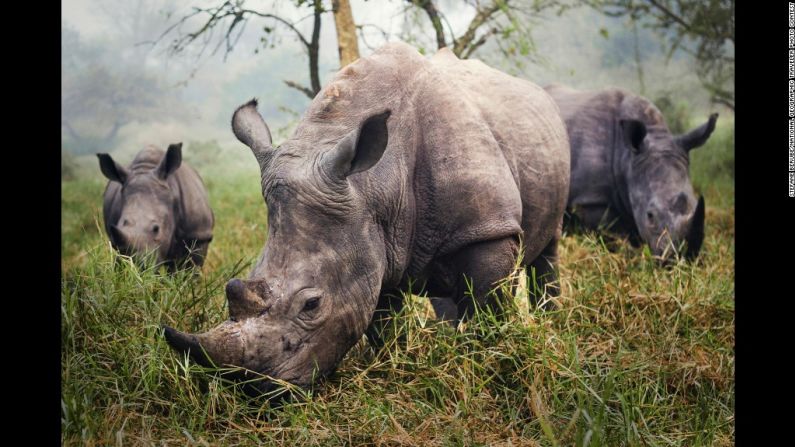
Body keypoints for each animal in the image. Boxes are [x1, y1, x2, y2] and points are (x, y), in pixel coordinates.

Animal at [163, 42, 572, 392]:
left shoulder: (487, 229)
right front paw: (392, 367)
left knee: (546, 249)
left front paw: (483, 365)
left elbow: (487, 306)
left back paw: (548, 321)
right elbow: (380, 321)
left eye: (312, 305)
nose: (257, 390)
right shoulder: (376, 240)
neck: (374, 184)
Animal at [544, 84, 720, 260]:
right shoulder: (590, 199)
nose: (684, 257)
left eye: (695, 204)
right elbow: (608, 233)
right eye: (650, 215)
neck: (628, 158)